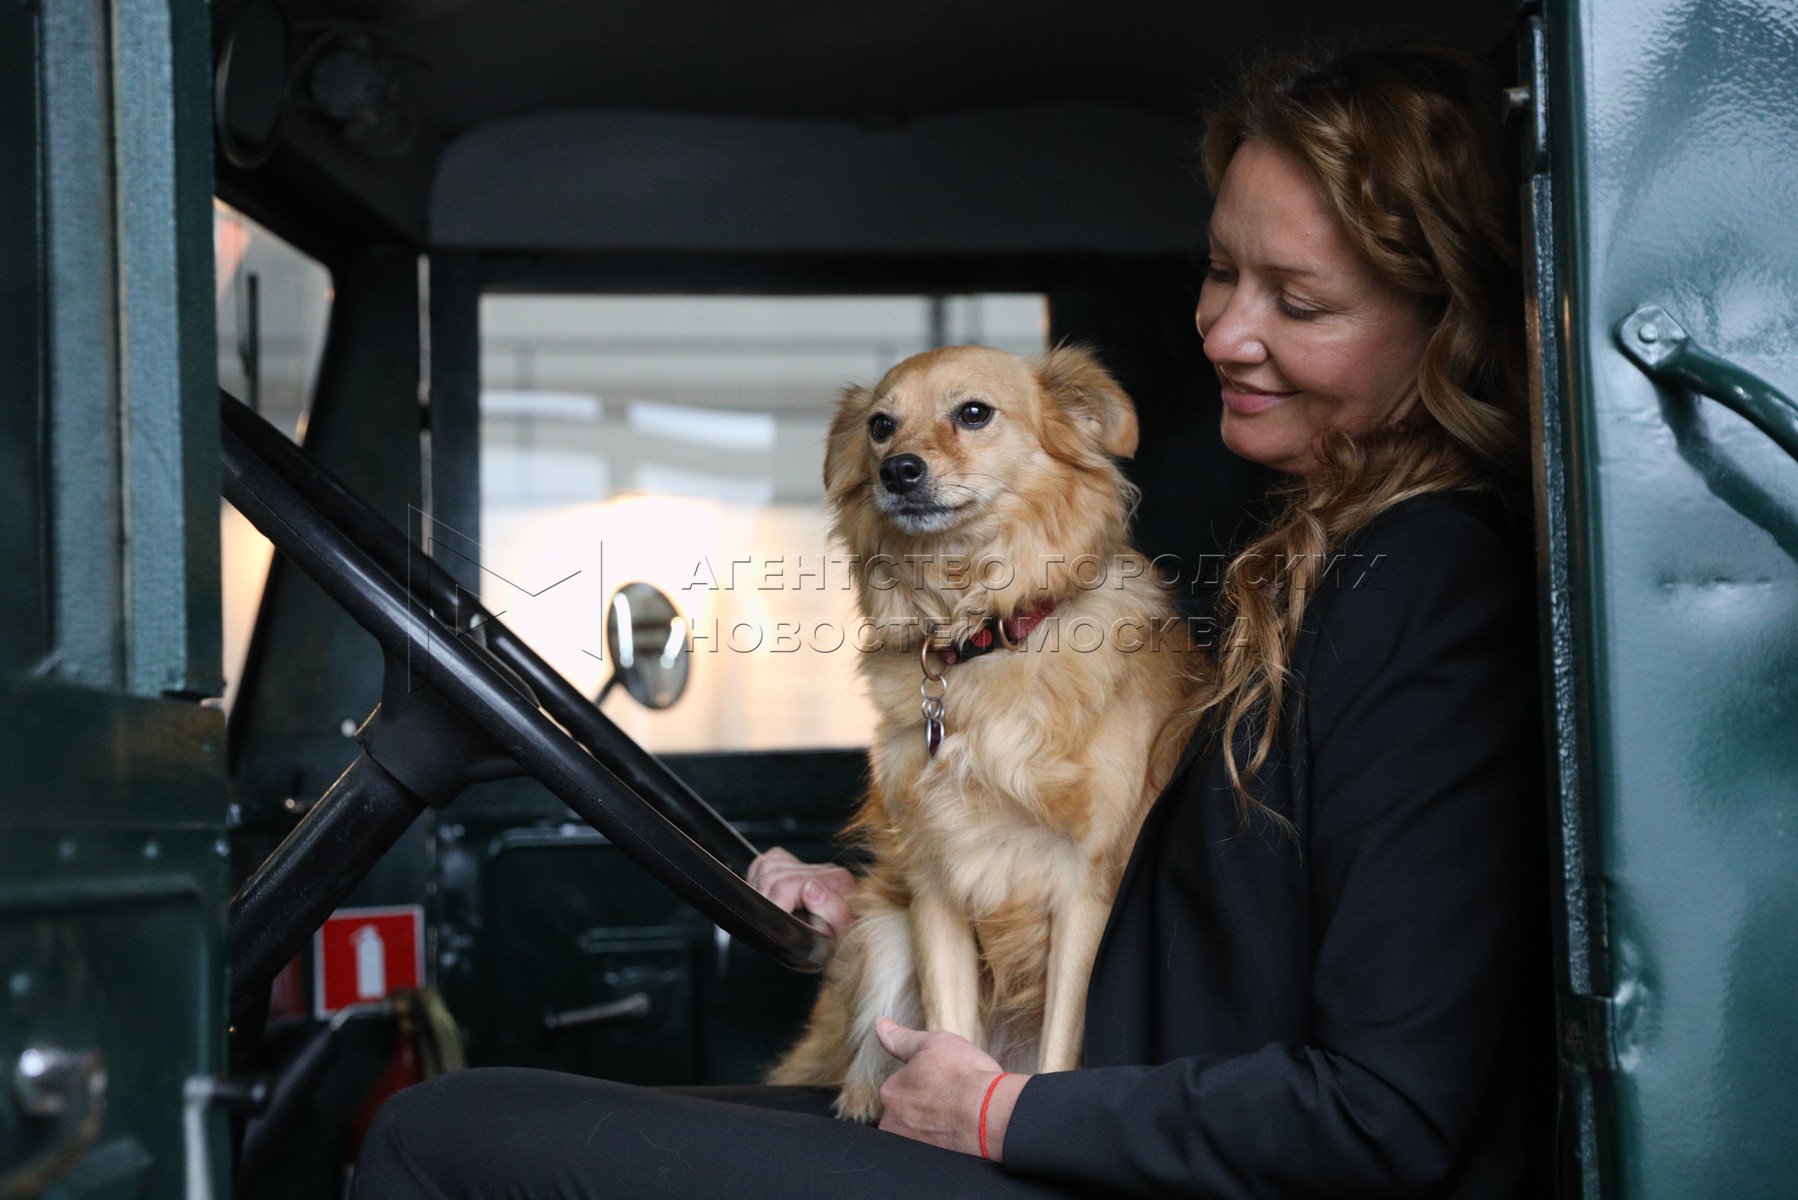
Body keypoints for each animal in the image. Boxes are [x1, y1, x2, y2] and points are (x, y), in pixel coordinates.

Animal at [769, 341, 1201, 1122]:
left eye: (974, 413)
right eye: (880, 426)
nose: (897, 470)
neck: (982, 634)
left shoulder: (1085, 888)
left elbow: (1062, 1048)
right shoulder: (935, 883)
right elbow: (947, 1029)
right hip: (885, 931)